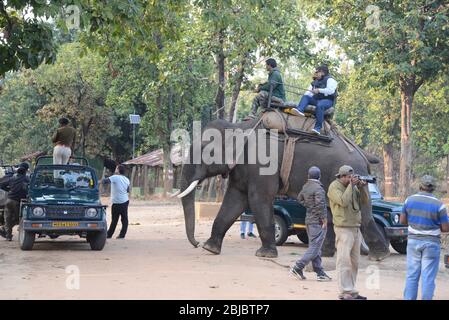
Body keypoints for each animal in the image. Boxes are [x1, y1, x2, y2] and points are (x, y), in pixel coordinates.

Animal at [177, 116, 390, 262]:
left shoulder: (262, 165)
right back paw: (325, 254)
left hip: (353, 176)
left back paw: (379, 256)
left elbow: (259, 199)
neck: (239, 127)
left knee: (362, 213)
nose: (196, 243)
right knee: (330, 211)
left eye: (206, 151)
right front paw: (210, 248)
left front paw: (265, 255)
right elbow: (235, 201)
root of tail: (361, 152)